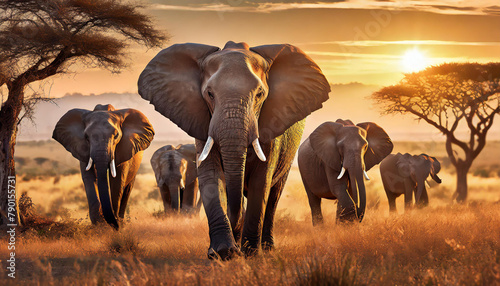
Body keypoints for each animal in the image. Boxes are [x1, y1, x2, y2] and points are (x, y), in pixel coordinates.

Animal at [139, 42, 330, 260]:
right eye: (209, 94)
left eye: (259, 95)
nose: (237, 248)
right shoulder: (203, 122)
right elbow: (211, 176)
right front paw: (222, 253)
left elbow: (261, 181)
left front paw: (250, 254)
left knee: (273, 195)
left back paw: (267, 248)